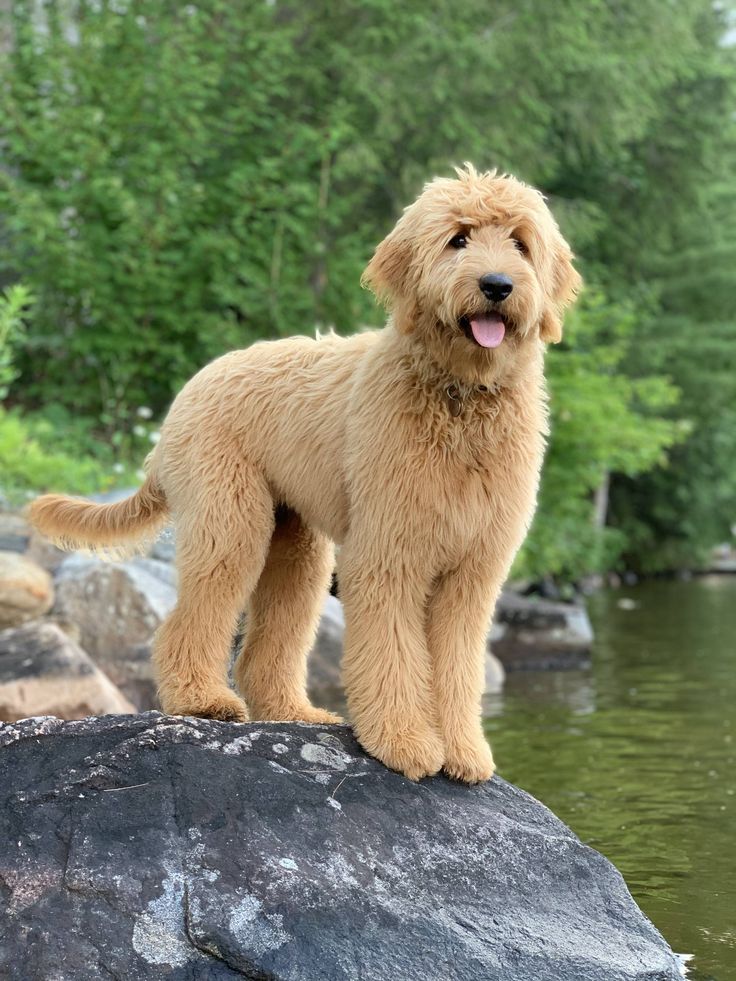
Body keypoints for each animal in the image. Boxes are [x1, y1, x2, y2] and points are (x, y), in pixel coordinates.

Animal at [28, 167, 580, 780]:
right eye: (457, 239)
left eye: (520, 243)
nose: (497, 285)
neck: (460, 399)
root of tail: (187, 394)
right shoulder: (388, 551)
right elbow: (390, 649)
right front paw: (404, 741)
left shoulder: (474, 569)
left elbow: (458, 664)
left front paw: (463, 751)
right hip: (231, 520)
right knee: (187, 622)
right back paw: (204, 701)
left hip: (296, 544)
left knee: (269, 641)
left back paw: (297, 713)